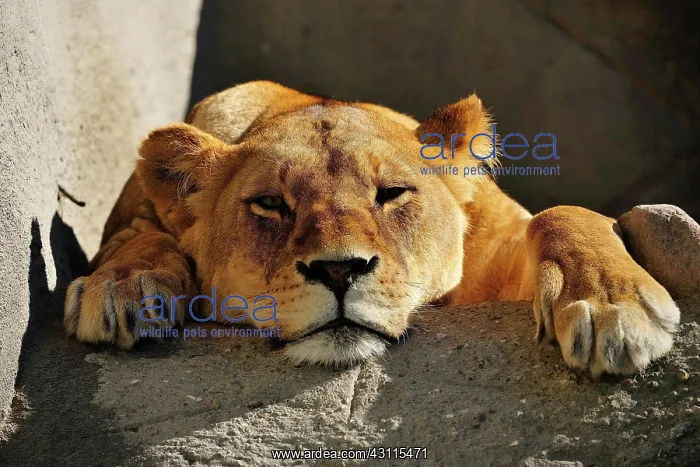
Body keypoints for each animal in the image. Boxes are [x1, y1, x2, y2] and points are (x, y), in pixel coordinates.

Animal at [63, 81, 680, 377]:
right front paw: (123, 288)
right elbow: (139, 238)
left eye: (391, 194)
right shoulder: (134, 216)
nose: (340, 271)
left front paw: (610, 306)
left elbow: (562, 216)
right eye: (270, 205)